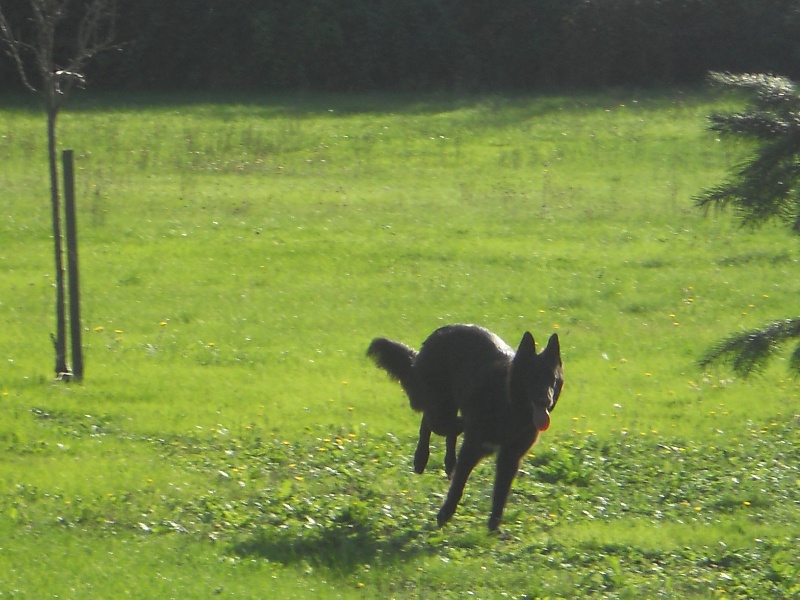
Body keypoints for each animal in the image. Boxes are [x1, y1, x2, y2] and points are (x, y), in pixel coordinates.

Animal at [368, 324, 564, 528]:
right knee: (431, 423)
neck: (507, 402)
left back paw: (449, 463)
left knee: (445, 429)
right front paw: (445, 515)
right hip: (440, 411)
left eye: (552, 379)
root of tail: (441, 331)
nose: (546, 401)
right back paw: (421, 458)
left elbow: (500, 496)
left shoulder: (510, 459)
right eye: (532, 378)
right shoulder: (472, 449)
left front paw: (493, 528)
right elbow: (458, 485)